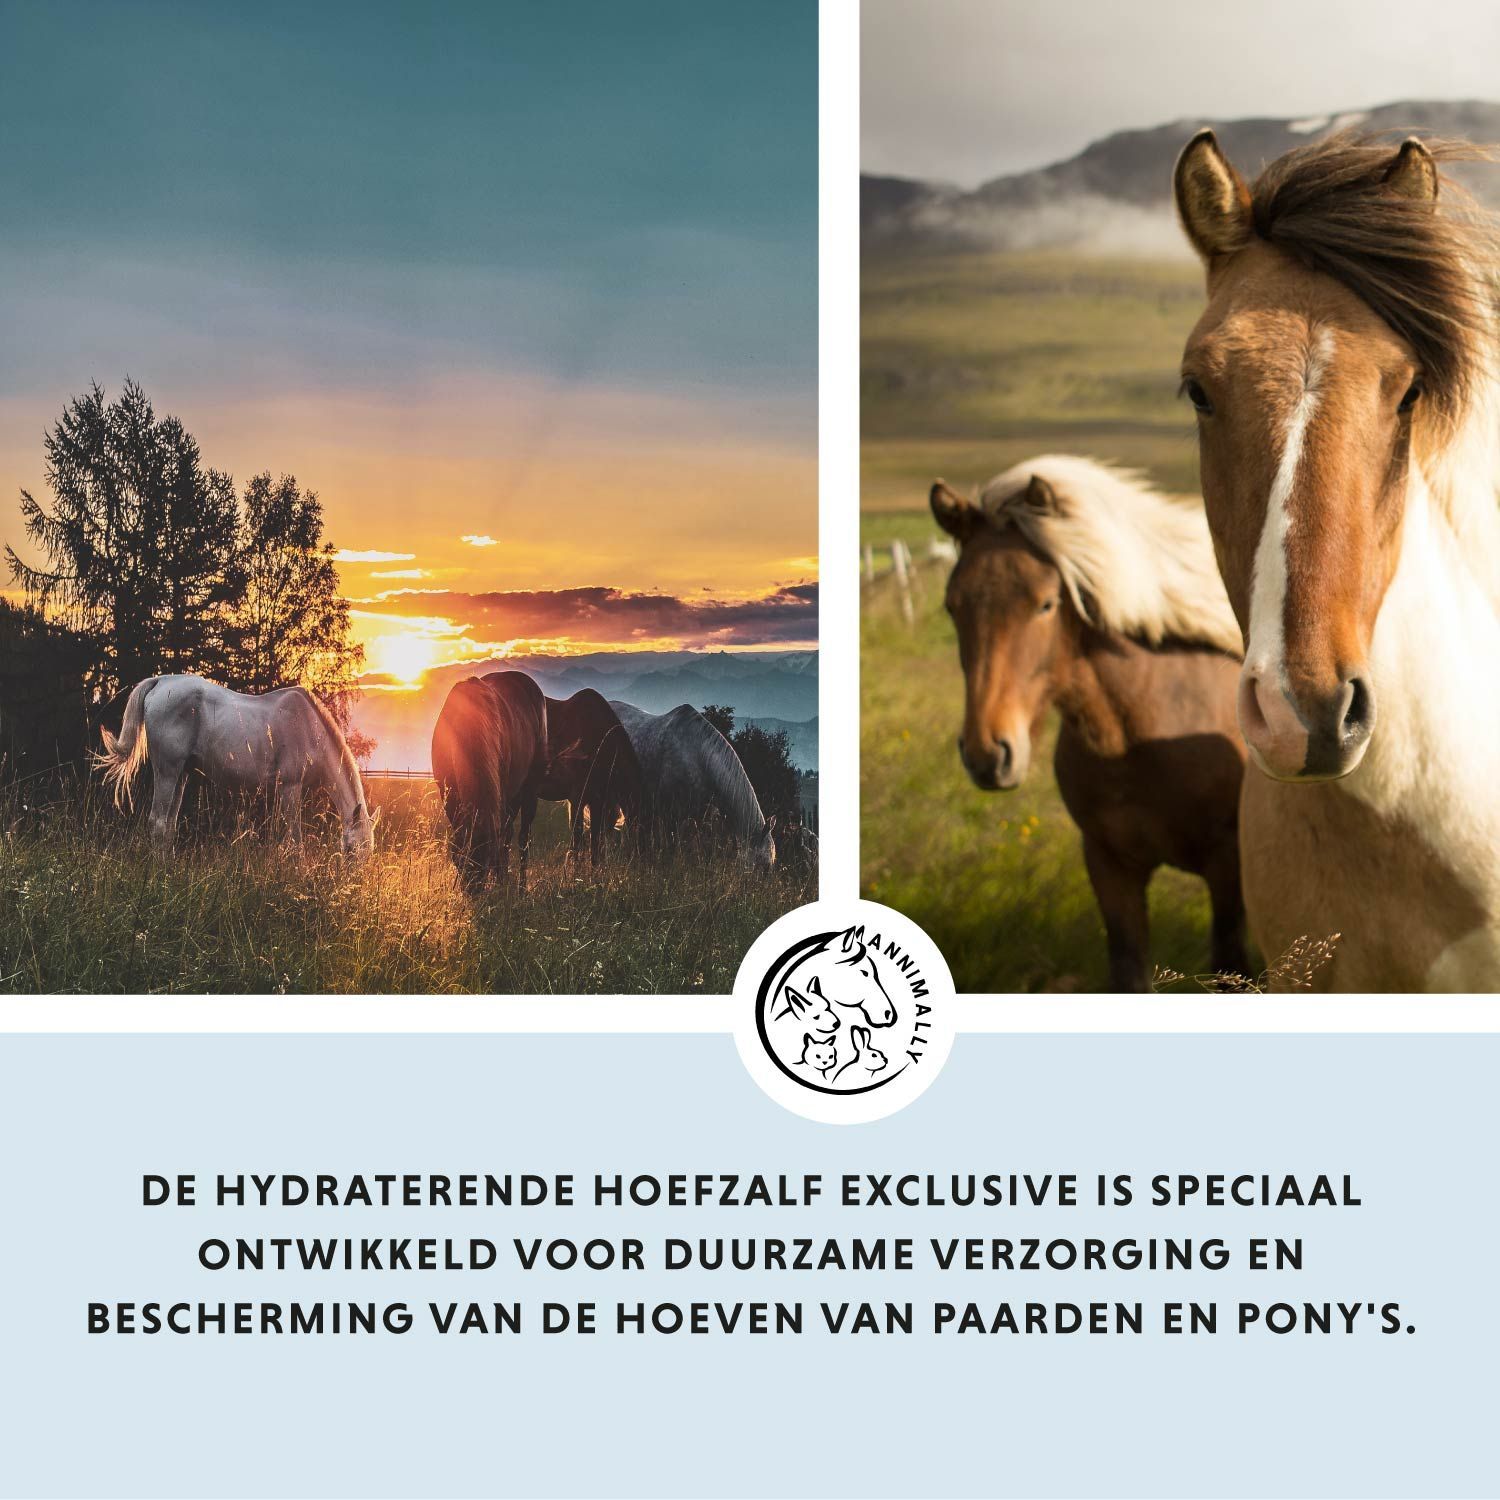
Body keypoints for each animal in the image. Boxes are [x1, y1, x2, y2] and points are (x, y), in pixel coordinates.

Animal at [94, 674, 374, 857]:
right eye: (351, 851)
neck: (309, 728)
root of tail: (161, 682)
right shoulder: (290, 788)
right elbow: (295, 840)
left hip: (181, 774)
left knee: (168, 826)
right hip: (167, 771)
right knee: (158, 822)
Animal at [431, 670, 548, 894]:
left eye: (484, 863)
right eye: (459, 861)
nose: (473, 892)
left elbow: (502, 841)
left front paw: (501, 881)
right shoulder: (448, 794)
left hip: (529, 790)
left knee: (522, 839)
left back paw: (519, 887)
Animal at [932, 456, 1249, 992]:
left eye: (1045, 603)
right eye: (953, 606)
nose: (987, 754)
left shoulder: (1228, 867)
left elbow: (1233, 966)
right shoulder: (1108, 864)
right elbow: (1128, 969)